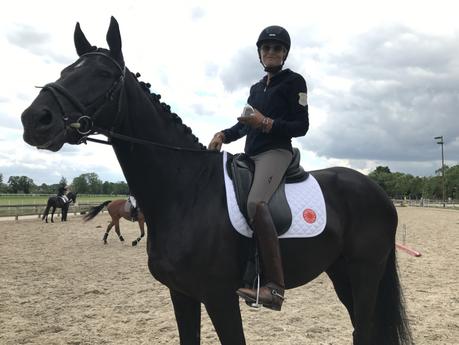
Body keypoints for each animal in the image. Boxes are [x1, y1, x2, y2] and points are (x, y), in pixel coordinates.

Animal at [20, 18, 414, 344]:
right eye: (66, 70)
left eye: (103, 74)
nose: (34, 119)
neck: (185, 192)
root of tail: (377, 192)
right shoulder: (181, 293)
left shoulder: (219, 297)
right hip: (341, 272)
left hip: (365, 272)